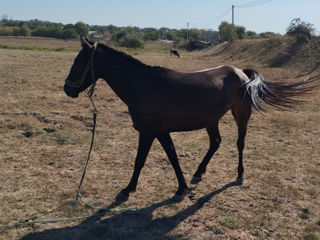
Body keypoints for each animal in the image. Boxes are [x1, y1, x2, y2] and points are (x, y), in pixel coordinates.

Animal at [63, 37, 316, 202]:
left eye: (78, 62)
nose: (67, 89)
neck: (143, 86)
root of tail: (241, 72)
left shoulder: (148, 132)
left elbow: (140, 161)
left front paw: (127, 190)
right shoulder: (161, 132)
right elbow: (173, 158)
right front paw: (182, 188)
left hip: (241, 115)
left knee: (240, 143)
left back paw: (240, 175)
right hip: (211, 120)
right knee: (215, 142)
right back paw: (198, 173)